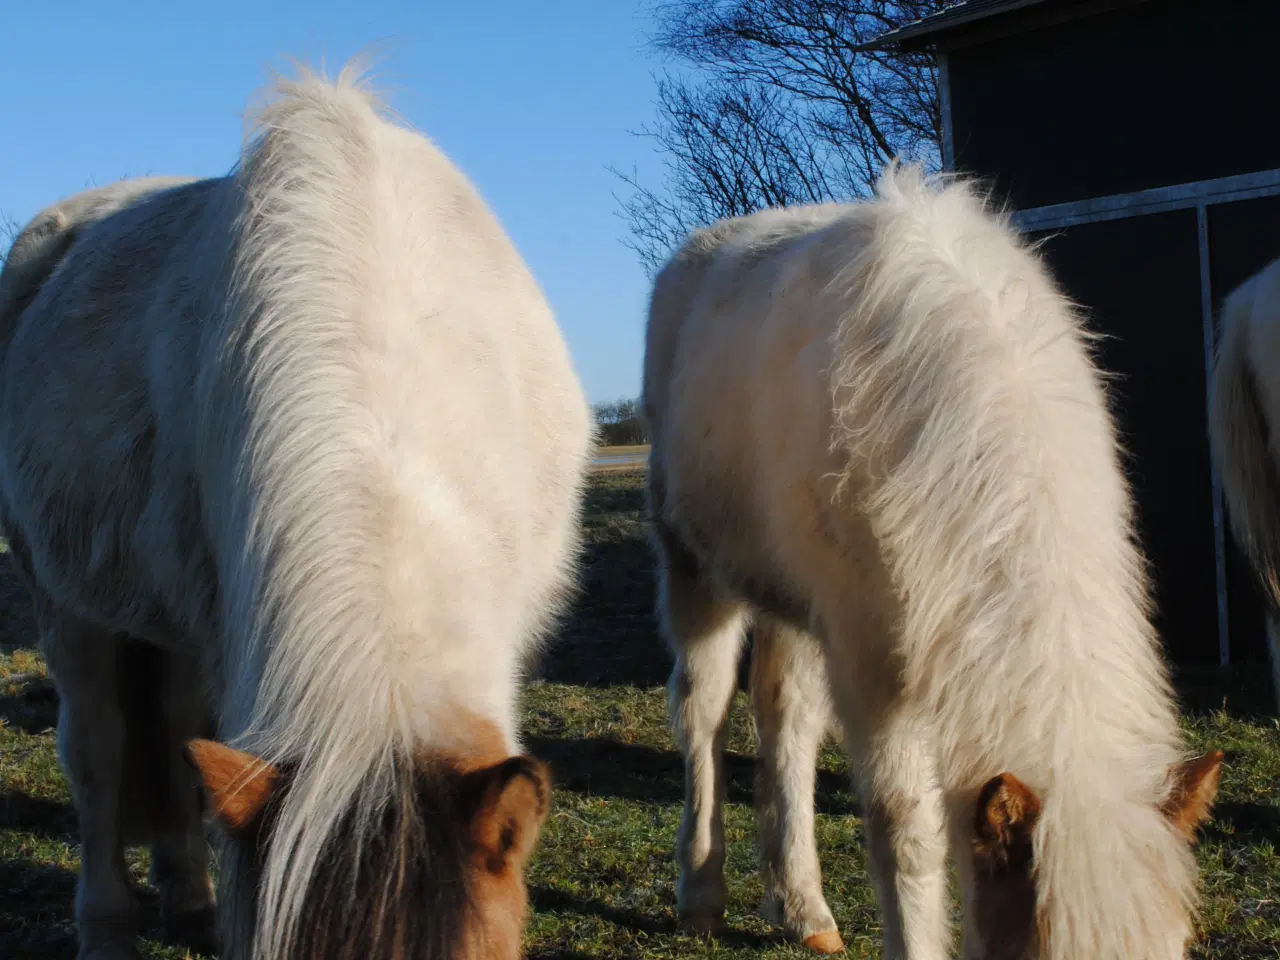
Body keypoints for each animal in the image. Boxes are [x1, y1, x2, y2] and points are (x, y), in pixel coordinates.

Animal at [645, 167, 1223, 960]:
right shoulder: (872, 662)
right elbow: (906, 829)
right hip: (694, 567)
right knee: (702, 714)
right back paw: (701, 891)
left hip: (792, 597)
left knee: (785, 721)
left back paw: (801, 906)